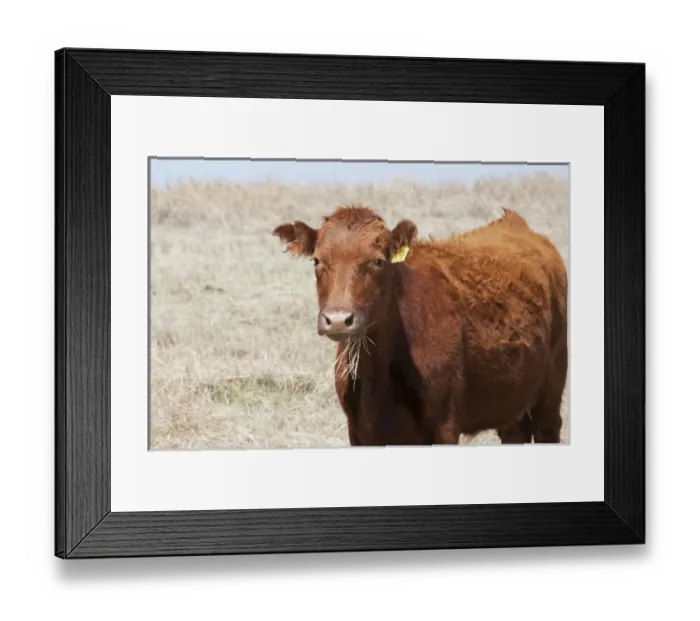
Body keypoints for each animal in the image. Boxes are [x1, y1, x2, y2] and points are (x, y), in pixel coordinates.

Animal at [272, 205, 568, 446]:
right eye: (317, 260)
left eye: (378, 261)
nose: (338, 319)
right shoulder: (359, 431)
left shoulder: (444, 426)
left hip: (552, 388)